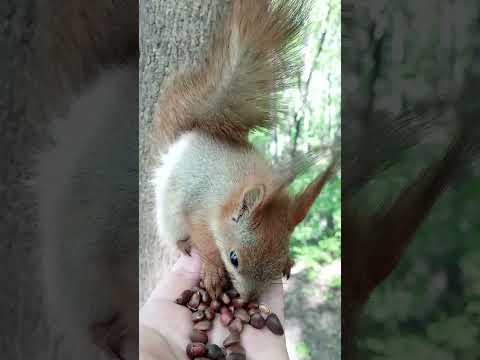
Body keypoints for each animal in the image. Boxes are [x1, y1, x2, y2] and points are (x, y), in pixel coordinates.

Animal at [152, 0, 336, 298]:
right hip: (167, 214)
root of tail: (193, 135)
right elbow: (206, 244)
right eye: (234, 259)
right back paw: (182, 244)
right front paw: (213, 270)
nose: (249, 299)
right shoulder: (197, 211)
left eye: (278, 260)